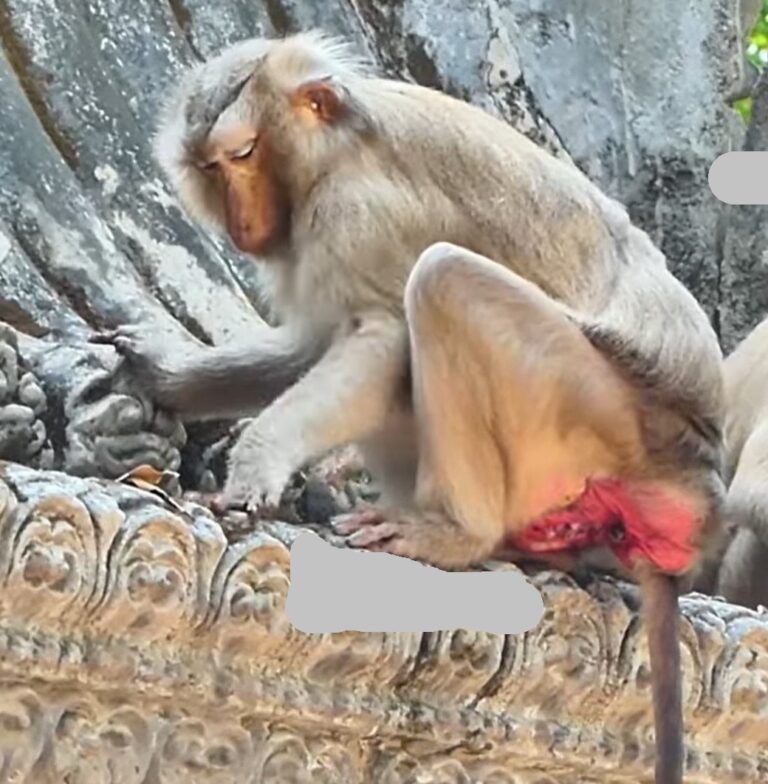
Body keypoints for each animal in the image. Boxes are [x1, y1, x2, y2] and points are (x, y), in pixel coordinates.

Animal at [93, 32, 725, 784]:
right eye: (211, 169)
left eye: (243, 155)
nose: (244, 223)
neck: (332, 147)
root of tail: (693, 478)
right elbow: (314, 345)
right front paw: (158, 372)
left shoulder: (356, 213)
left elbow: (378, 338)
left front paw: (253, 466)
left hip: (600, 417)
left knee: (444, 280)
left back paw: (453, 533)